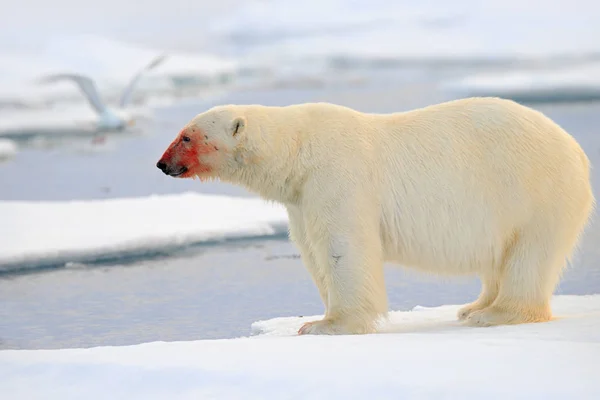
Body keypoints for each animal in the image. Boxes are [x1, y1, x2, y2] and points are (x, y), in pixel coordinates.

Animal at [156, 97, 596, 334]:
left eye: (187, 136)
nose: (162, 164)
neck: (298, 150)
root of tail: (577, 151)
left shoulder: (337, 176)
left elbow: (343, 247)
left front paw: (325, 324)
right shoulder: (301, 197)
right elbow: (312, 250)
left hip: (534, 192)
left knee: (529, 256)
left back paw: (496, 314)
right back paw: (473, 306)